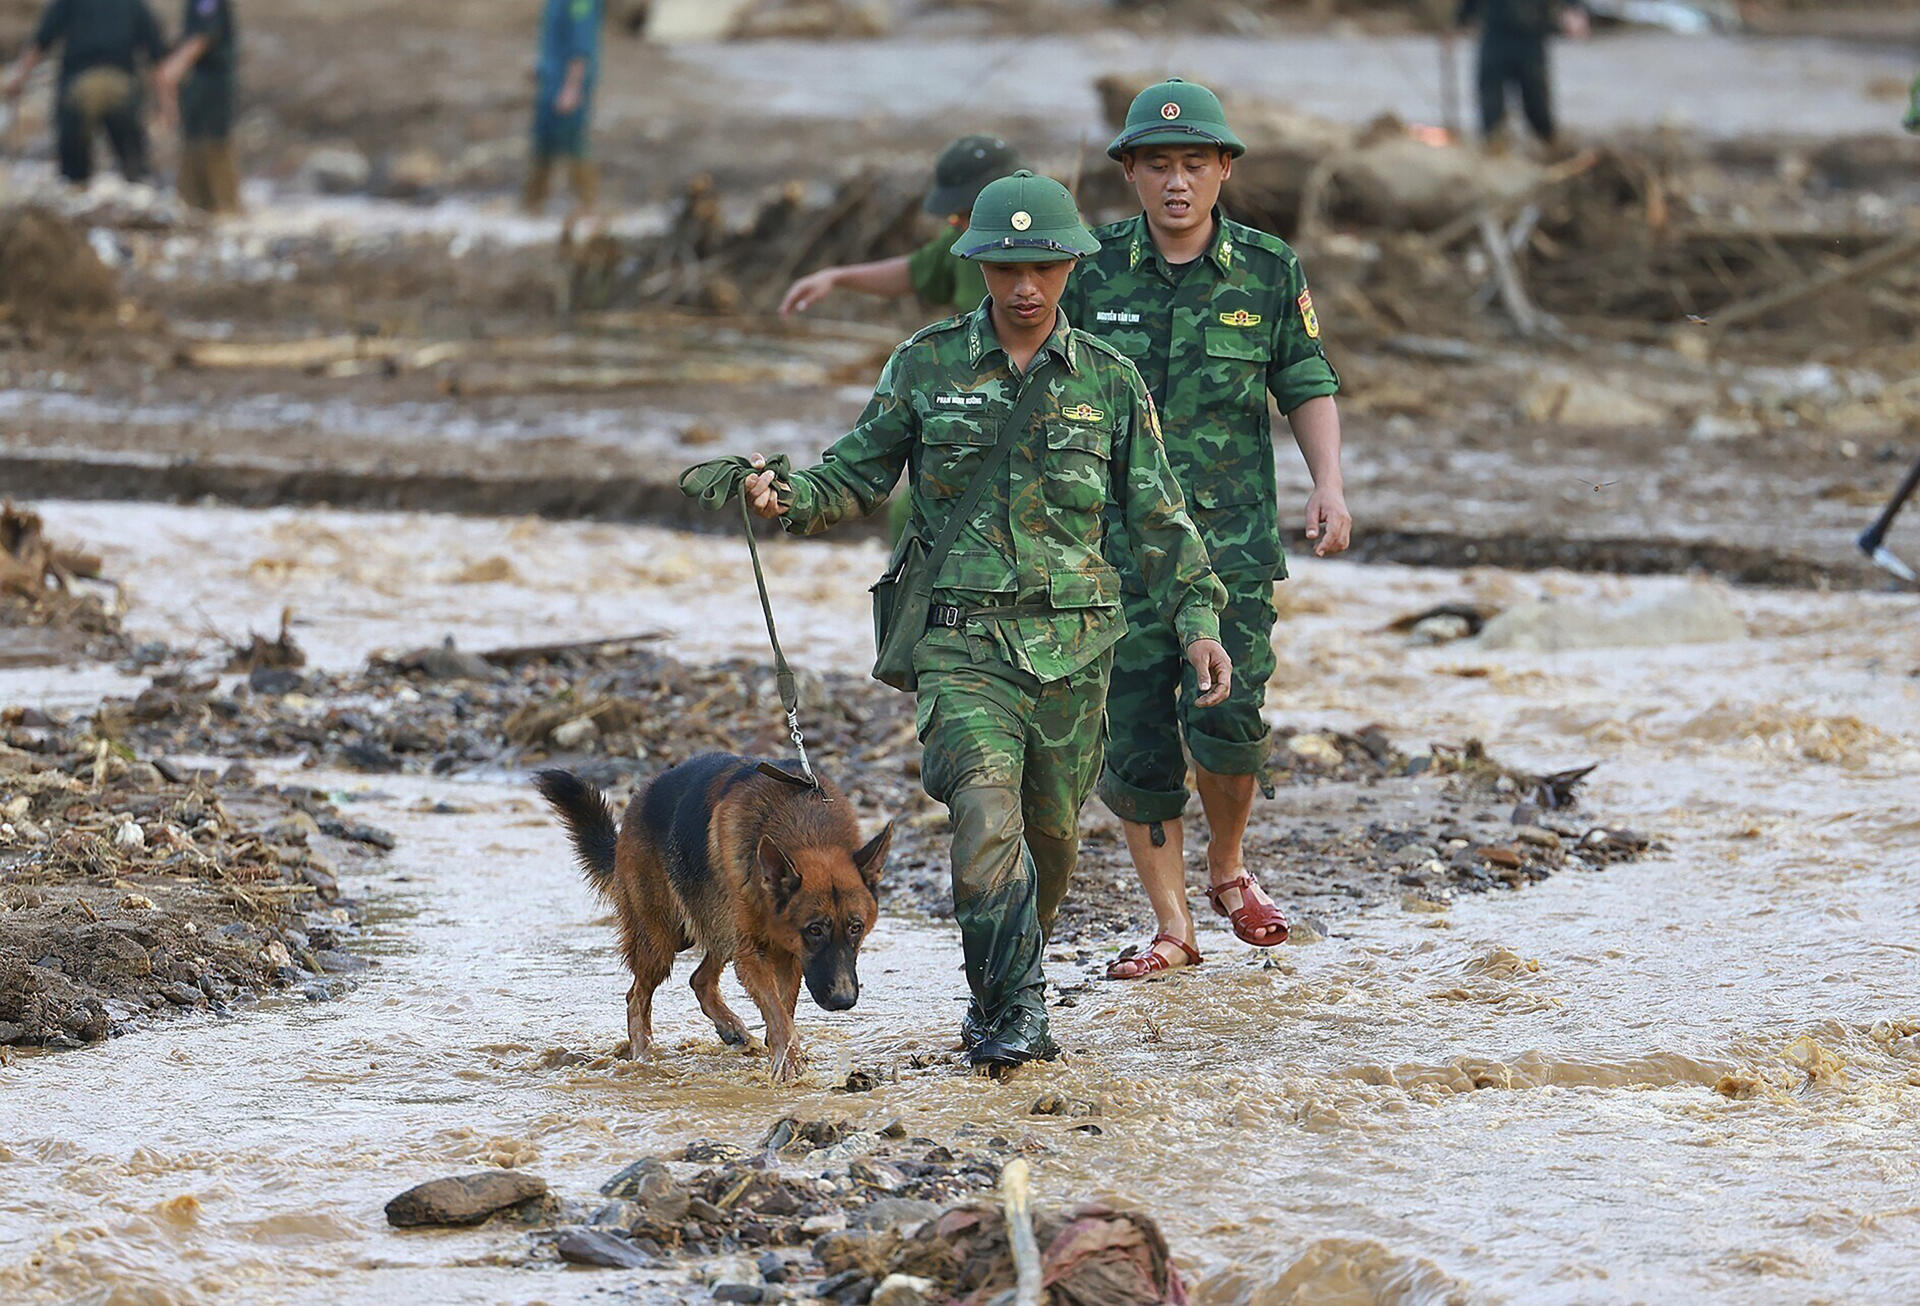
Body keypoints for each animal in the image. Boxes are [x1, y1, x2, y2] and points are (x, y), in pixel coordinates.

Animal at [533, 756, 890, 1083]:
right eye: (815, 930)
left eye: (856, 928)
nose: (844, 1000)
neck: (808, 831)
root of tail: (636, 805)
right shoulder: (755, 953)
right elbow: (776, 1011)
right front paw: (788, 1063)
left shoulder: (786, 955)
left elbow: (783, 1010)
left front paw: (783, 1053)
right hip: (663, 941)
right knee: (637, 998)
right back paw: (643, 1058)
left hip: (717, 928)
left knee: (700, 979)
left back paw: (730, 1029)